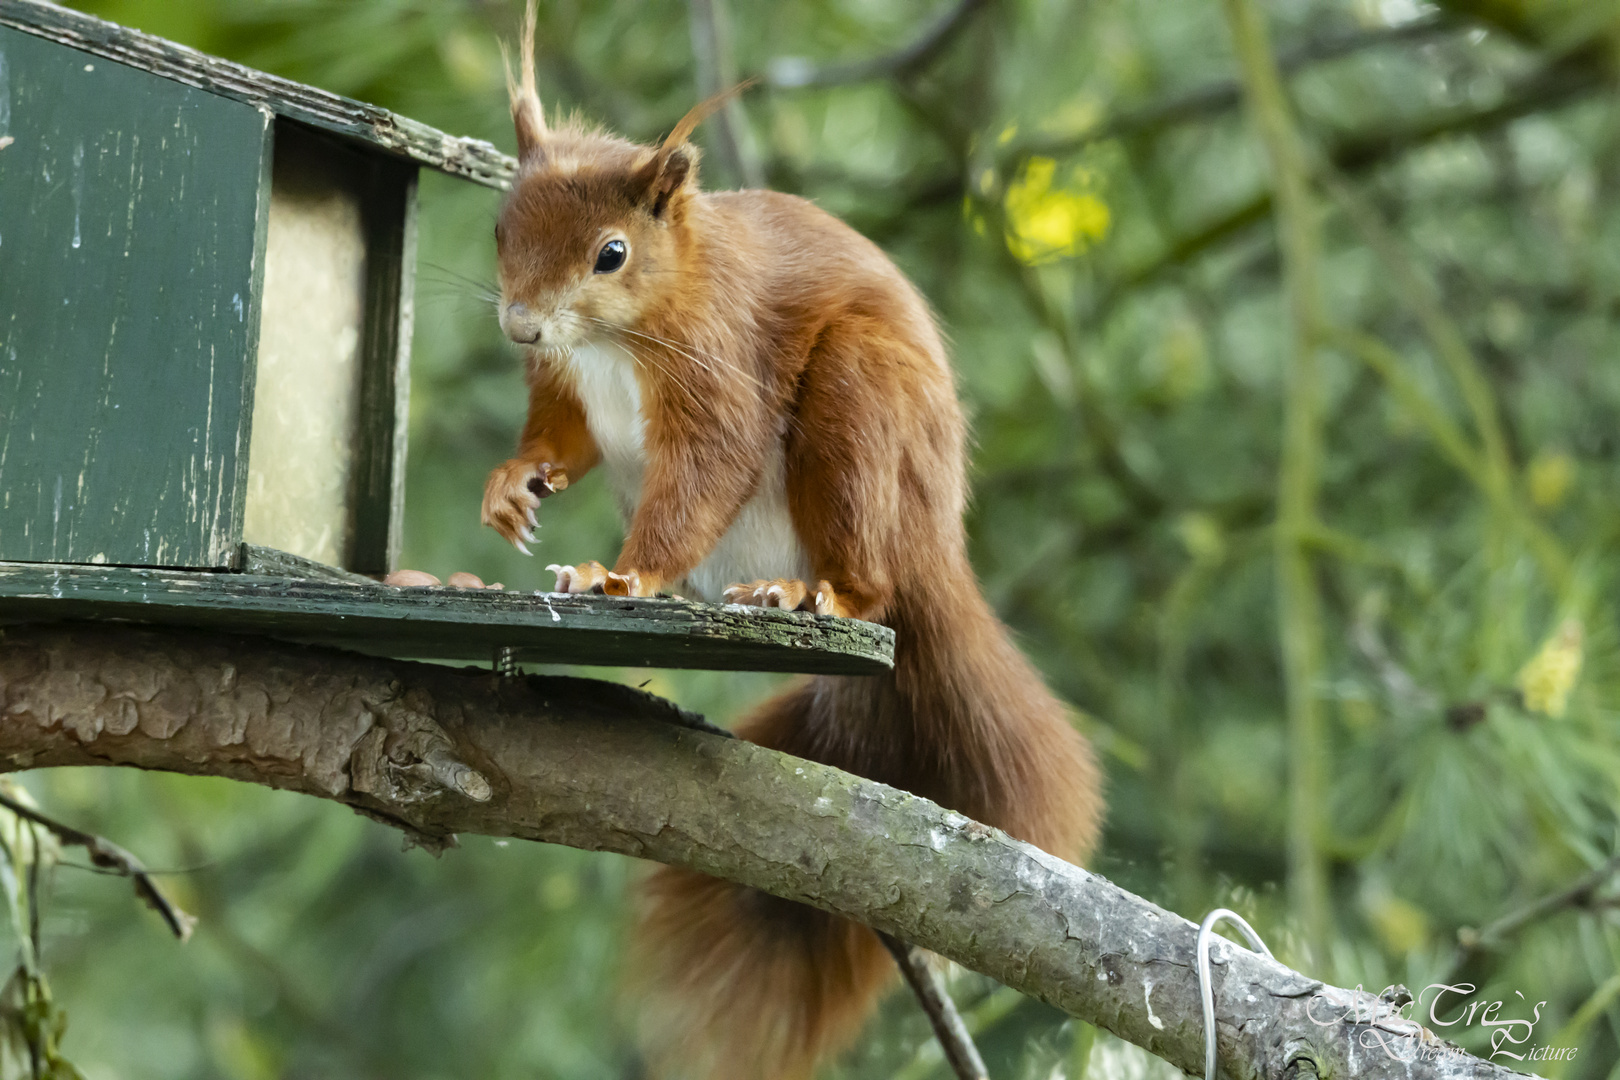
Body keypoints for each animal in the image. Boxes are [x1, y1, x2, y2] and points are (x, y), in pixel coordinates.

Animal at [479, 6, 1108, 1075]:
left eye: (611, 253)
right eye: (498, 228)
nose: (521, 326)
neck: (612, 339)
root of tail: (937, 546)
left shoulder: (719, 368)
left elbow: (706, 471)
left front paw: (622, 572)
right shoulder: (566, 388)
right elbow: (559, 440)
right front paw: (512, 488)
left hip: (860, 418)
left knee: (868, 579)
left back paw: (814, 596)